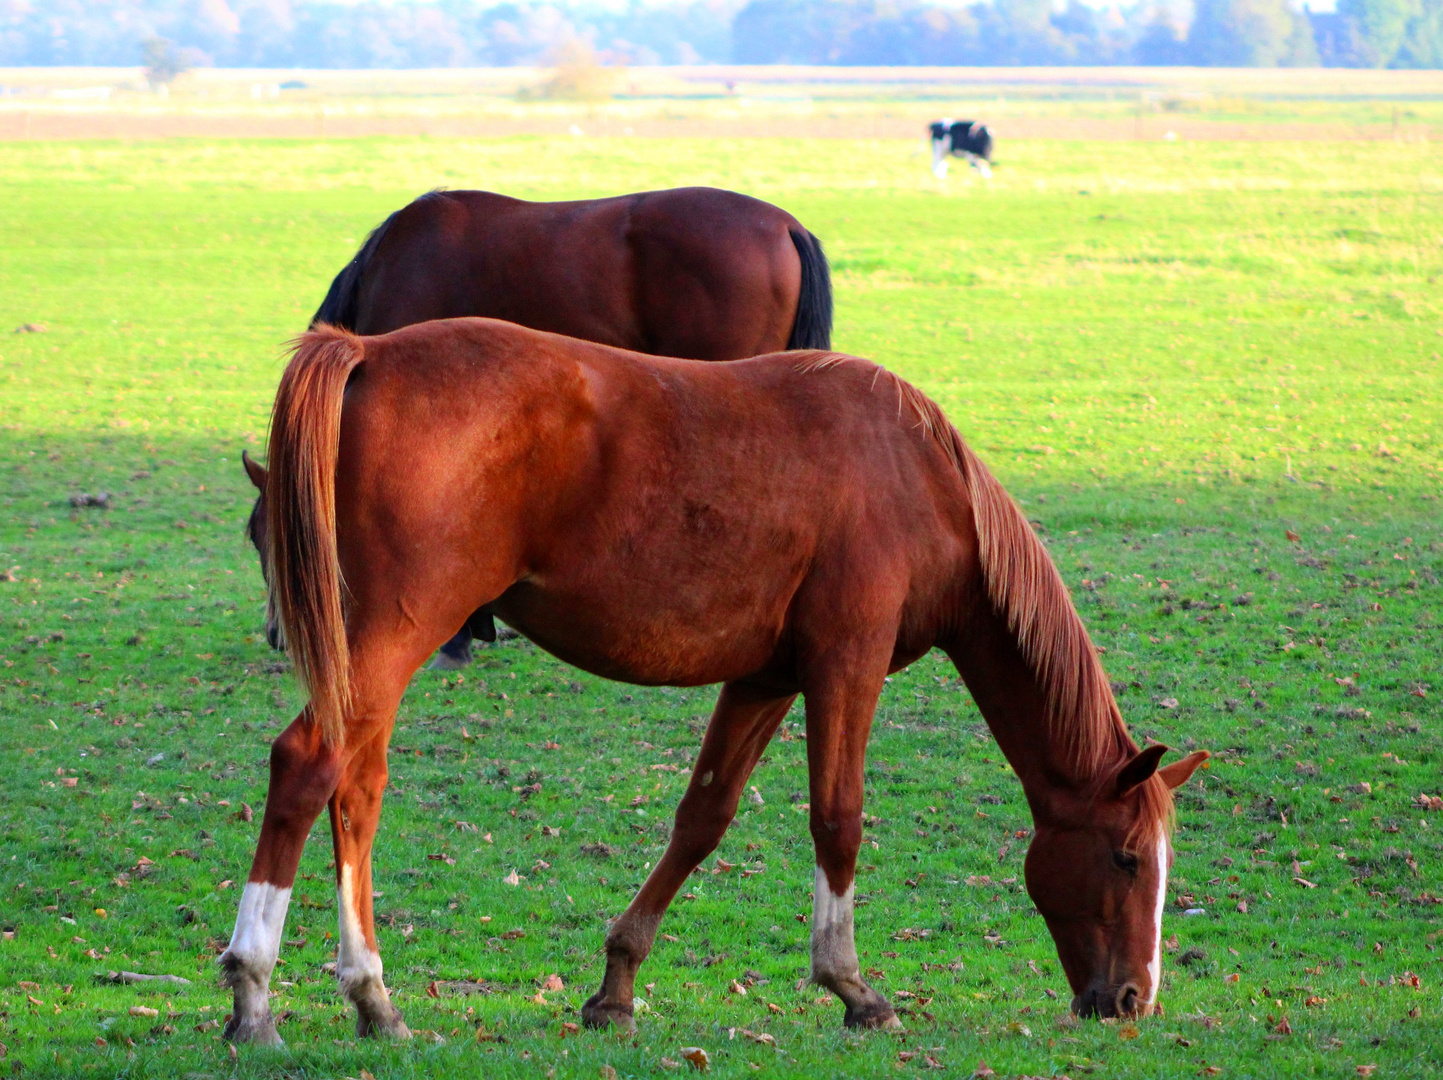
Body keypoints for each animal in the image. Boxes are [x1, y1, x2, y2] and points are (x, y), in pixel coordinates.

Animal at [225, 316, 1212, 1039]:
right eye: (1126, 857)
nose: (1134, 999)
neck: (921, 480)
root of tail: (368, 351)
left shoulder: (766, 680)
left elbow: (701, 819)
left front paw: (616, 985)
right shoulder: (846, 665)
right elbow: (838, 818)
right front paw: (852, 988)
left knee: (355, 790)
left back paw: (370, 998)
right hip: (388, 639)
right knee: (309, 767)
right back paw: (255, 992)